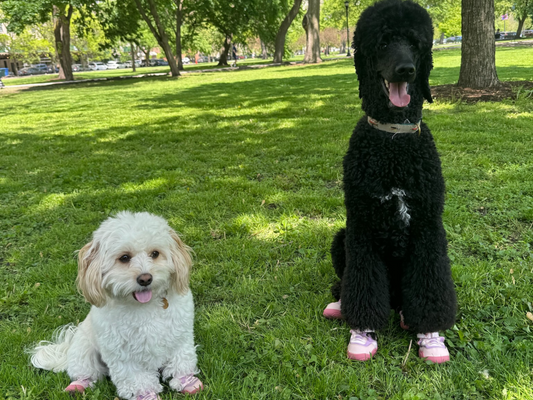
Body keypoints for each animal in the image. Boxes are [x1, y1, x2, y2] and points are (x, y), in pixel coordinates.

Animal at [30, 211, 204, 398]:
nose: (145, 278)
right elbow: (136, 379)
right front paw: (146, 395)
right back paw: (78, 385)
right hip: (84, 353)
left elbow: (181, 360)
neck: (145, 306)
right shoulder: (123, 354)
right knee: (86, 373)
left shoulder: (180, 338)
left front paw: (186, 380)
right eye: (124, 258)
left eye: (155, 253)